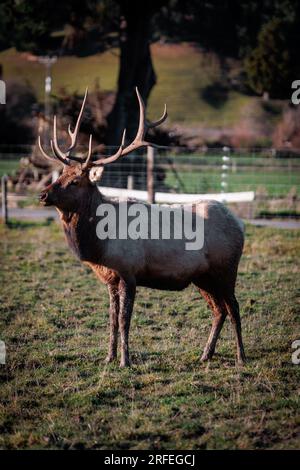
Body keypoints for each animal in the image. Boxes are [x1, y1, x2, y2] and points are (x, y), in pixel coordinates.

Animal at [38, 88, 246, 368]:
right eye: (60, 175)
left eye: (75, 181)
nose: (42, 194)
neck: (99, 245)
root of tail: (240, 224)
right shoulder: (110, 278)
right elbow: (112, 319)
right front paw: (108, 357)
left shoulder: (129, 271)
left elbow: (124, 320)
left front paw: (125, 361)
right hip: (203, 276)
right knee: (219, 309)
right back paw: (205, 354)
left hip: (226, 268)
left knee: (234, 308)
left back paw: (241, 357)